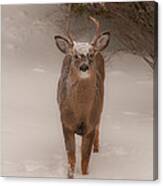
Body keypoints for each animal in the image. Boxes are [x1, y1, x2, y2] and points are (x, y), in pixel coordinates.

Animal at [54, 16, 110, 178]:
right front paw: (70, 175)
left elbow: (85, 159)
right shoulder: (65, 122)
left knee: (99, 126)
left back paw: (97, 148)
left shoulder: (90, 125)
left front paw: (85, 176)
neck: (80, 113)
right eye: (75, 55)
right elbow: (71, 156)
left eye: (91, 54)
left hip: (101, 106)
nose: (84, 67)